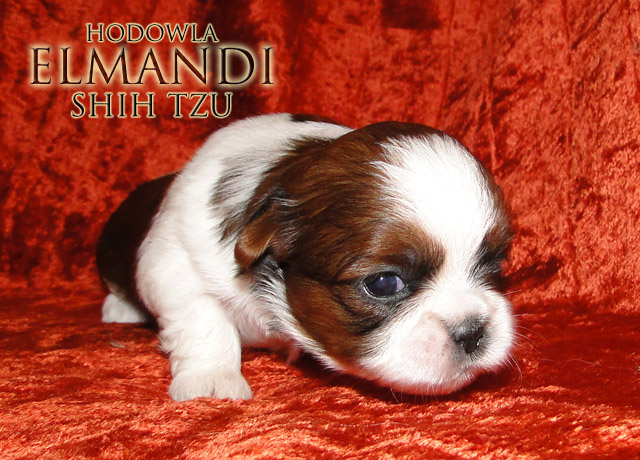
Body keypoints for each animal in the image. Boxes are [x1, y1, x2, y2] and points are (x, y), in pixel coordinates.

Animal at [96, 113, 514, 401]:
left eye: (494, 264)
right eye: (383, 283)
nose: (473, 331)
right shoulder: (171, 262)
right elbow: (203, 319)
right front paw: (211, 381)